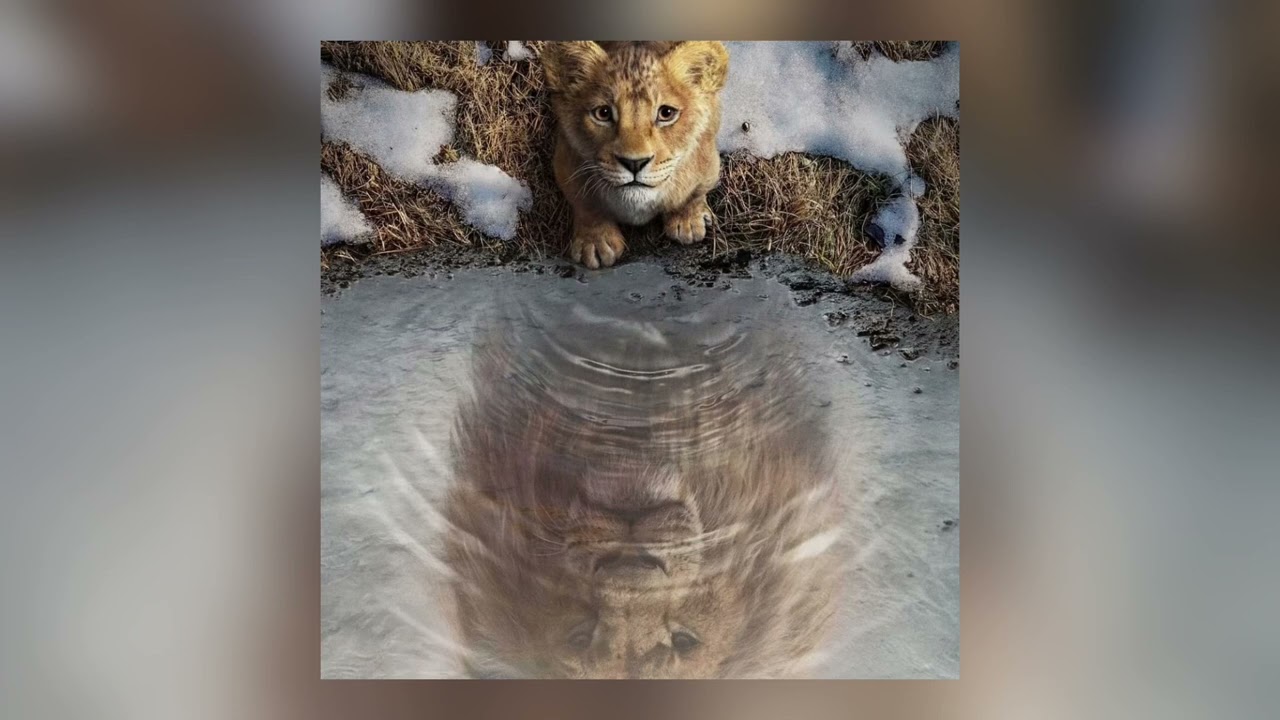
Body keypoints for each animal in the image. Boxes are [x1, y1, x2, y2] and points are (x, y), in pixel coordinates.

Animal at [542, 41, 730, 269]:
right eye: (603, 113)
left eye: (666, 113)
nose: (634, 163)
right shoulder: (566, 163)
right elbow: (585, 204)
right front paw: (595, 243)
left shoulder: (709, 163)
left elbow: (694, 194)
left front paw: (688, 222)